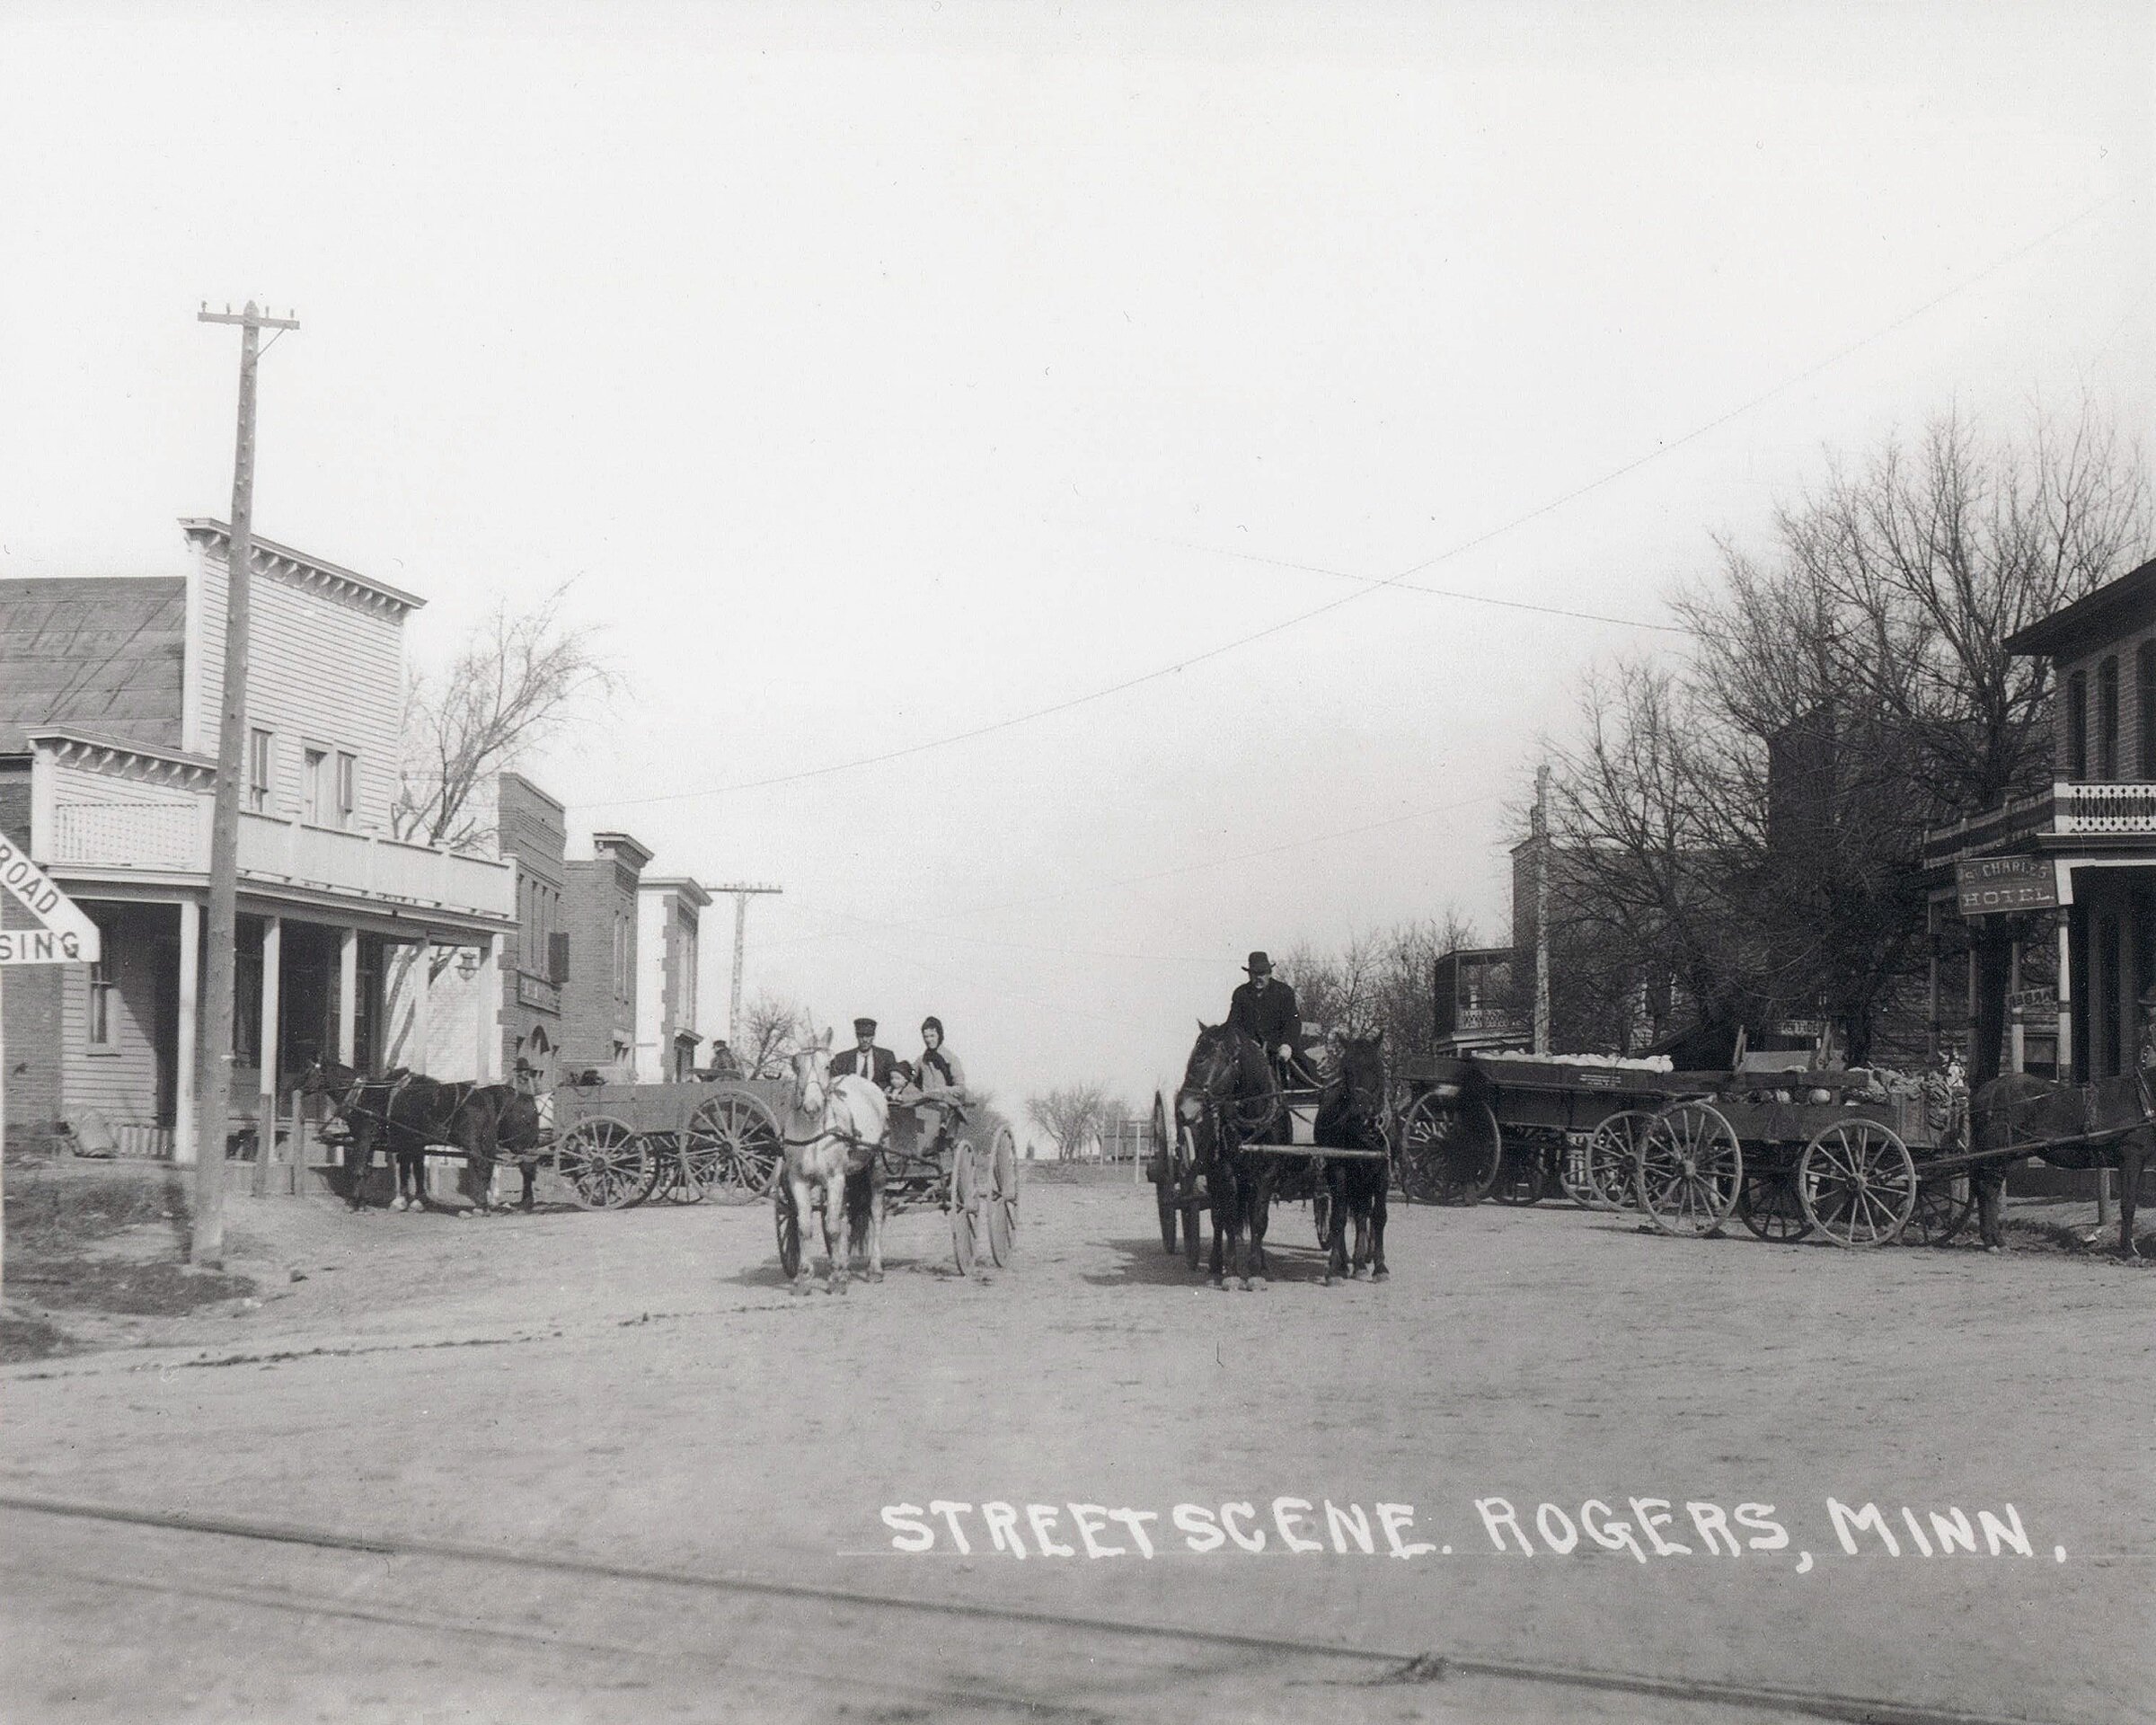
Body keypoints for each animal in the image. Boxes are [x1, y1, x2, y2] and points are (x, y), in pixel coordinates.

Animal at [780, 1026, 888, 1294]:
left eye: (829, 1064)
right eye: (796, 1064)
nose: (812, 1107)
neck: (814, 1134)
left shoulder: (835, 1178)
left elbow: (833, 1228)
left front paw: (836, 1278)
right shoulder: (798, 1180)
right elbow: (805, 1227)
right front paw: (804, 1278)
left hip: (876, 1167)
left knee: (876, 1213)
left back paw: (874, 1268)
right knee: (844, 1215)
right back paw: (845, 1267)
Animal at [1181, 1017, 1276, 1285]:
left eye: (1202, 1059)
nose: (1182, 1109)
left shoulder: (1267, 1174)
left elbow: (1259, 1221)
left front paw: (1255, 1273)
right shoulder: (1226, 1172)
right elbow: (1230, 1220)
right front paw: (1232, 1273)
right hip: (1214, 1178)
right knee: (1217, 1218)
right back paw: (1216, 1265)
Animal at [1311, 1031, 1397, 1285]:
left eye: (1377, 1068)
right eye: (1346, 1070)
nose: (1363, 1114)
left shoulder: (1382, 1171)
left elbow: (1378, 1216)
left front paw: (1380, 1266)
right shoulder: (1339, 1170)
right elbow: (1338, 1217)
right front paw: (1332, 1269)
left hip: (1362, 1179)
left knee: (1361, 1213)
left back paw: (1359, 1262)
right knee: (1344, 1210)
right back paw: (1344, 1262)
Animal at [1975, 1065, 2138, 1251]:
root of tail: (1986, 1090)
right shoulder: (2132, 1157)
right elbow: (2129, 1202)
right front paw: (2129, 1248)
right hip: (1997, 1156)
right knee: (1988, 1191)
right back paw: (1994, 1242)